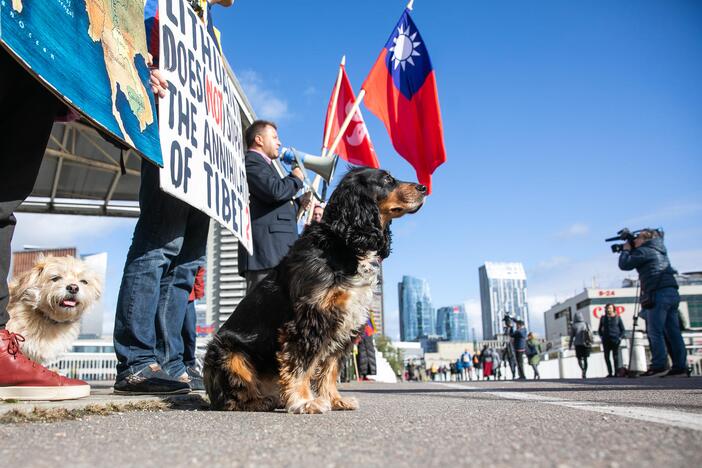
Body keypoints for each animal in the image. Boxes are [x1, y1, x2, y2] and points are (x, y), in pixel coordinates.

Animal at [204, 167, 428, 414]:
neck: (345, 242)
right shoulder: (311, 317)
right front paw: (304, 401)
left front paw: (335, 399)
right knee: (230, 397)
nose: (423, 188)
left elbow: (330, 368)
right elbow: (301, 364)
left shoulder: (345, 321)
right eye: (387, 179)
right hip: (225, 351)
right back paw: (259, 401)